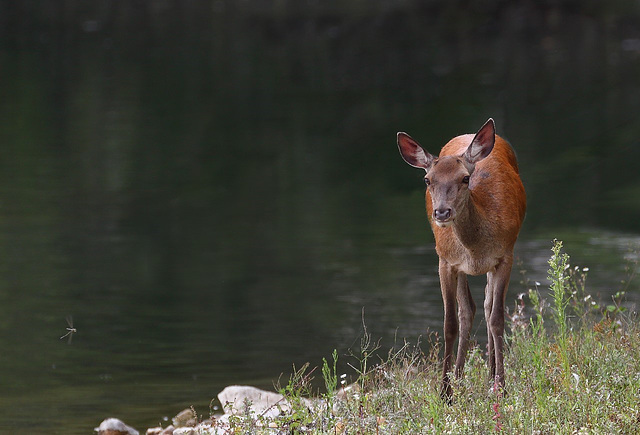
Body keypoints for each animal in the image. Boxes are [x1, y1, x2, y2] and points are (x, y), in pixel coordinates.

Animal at [398, 117, 528, 400]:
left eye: (465, 178)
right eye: (427, 180)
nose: (441, 212)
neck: (475, 250)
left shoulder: (505, 255)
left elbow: (497, 319)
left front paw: (502, 387)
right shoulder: (446, 262)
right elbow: (450, 323)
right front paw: (445, 392)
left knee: (487, 306)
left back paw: (491, 375)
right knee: (469, 309)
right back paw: (459, 376)